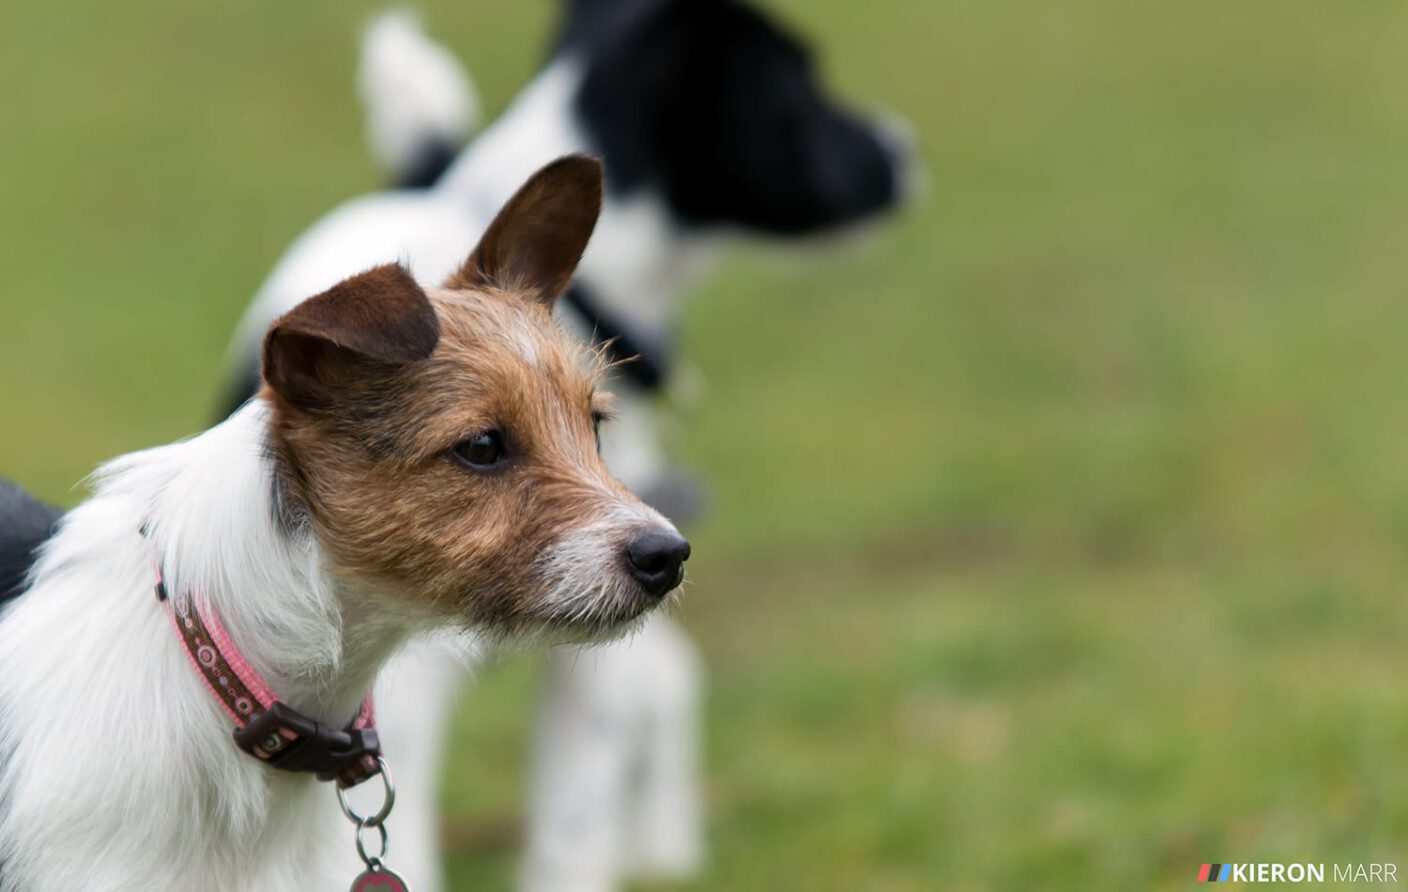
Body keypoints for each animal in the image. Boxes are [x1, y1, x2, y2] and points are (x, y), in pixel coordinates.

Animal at [215, 3, 912, 883]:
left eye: (594, 426)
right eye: (802, 89)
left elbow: (574, 826)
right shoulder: (388, 690)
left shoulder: (598, 648)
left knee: (669, 685)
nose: (905, 150)